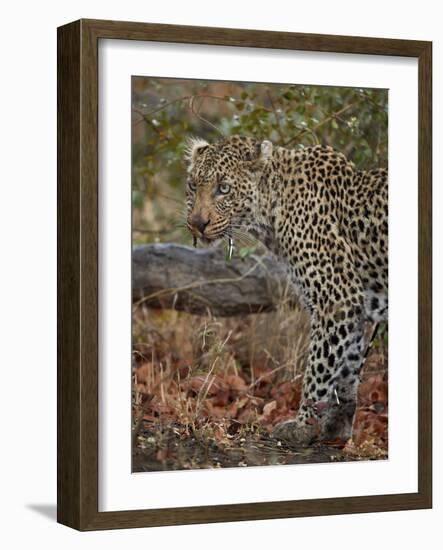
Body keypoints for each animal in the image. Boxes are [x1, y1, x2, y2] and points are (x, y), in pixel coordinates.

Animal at [184, 136, 388, 446]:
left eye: (224, 188)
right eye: (193, 186)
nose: (197, 224)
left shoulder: (336, 299)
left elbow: (319, 366)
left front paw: (302, 426)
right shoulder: (354, 305)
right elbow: (347, 367)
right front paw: (337, 427)